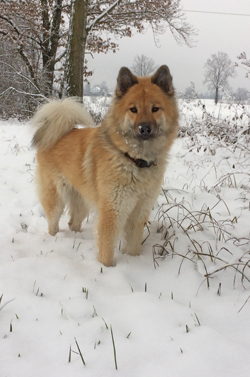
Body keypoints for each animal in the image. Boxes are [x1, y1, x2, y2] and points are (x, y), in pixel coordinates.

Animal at [32, 64, 179, 266]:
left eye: (155, 108)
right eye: (133, 109)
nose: (145, 129)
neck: (133, 159)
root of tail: (55, 133)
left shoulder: (139, 212)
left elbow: (133, 247)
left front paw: (135, 263)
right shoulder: (112, 212)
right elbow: (107, 249)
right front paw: (107, 268)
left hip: (81, 200)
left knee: (73, 222)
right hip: (56, 198)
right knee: (53, 222)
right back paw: (55, 239)